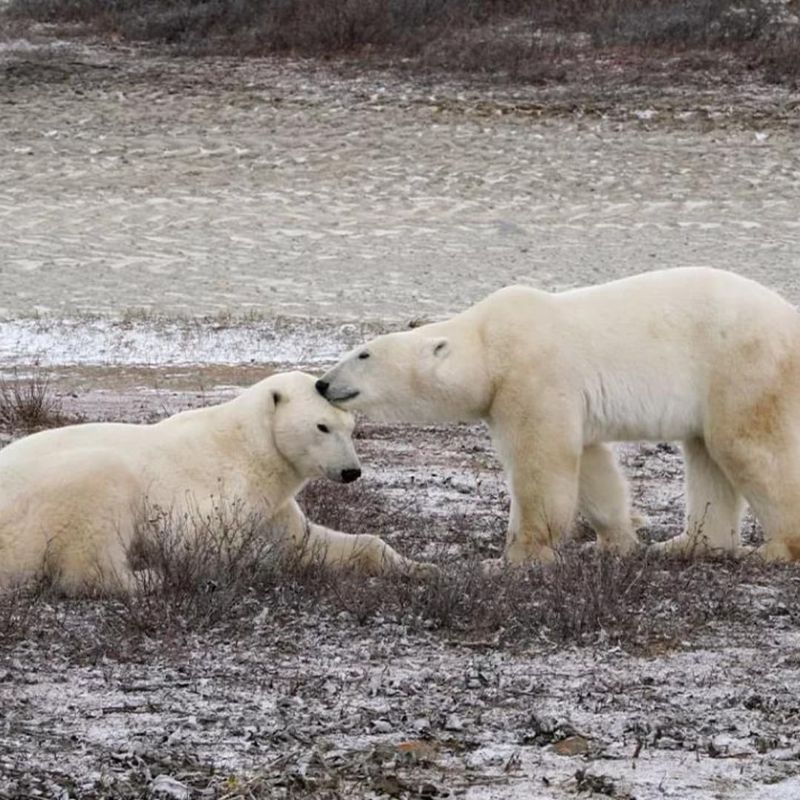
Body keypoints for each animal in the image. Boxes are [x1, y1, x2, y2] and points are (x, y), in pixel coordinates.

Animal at [0, 370, 432, 592]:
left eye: (351, 427)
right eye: (322, 426)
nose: (350, 471)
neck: (249, 447)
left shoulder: (272, 504)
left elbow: (308, 542)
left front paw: (421, 567)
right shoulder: (210, 488)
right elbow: (201, 546)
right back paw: (147, 577)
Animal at [318, 270, 800, 568]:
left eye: (363, 354)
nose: (322, 383)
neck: (489, 344)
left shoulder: (532, 376)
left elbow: (541, 463)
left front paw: (516, 558)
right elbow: (592, 468)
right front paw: (617, 542)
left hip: (740, 364)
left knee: (746, 446)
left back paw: (775, 548)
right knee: (705, 455)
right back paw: (686, 544)